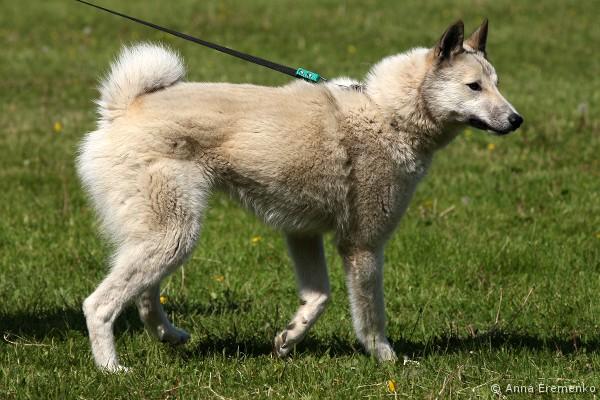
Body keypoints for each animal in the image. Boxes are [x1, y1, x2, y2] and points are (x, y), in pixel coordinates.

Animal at [77, 19, 523, 371]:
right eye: (474, 86)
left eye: (497, 85)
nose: (517, 119)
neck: (388, 115)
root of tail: (122, 108)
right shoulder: (363, 246)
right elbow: (371, 316)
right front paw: (388, 360)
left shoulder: (303, 234)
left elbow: (318, 297)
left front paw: (288, 339)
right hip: (174, 232)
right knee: (99, 305)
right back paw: (111, 368)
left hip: (163, 236)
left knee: (143, 295)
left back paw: (168, 335)